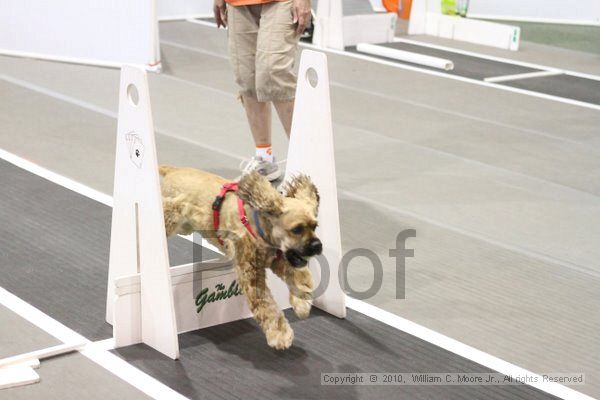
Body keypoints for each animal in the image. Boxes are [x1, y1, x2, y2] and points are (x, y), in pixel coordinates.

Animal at [157, 166, 322, 350]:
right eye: (297, 229)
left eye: (315, 226)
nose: (317, 246)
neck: (260, 225)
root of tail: (173, 170)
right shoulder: (250, 272)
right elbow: (266, 305)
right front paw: (280, 334)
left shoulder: (278, 258)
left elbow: (299, 276)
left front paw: (302, 304)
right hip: (169, 218)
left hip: (184, 226)